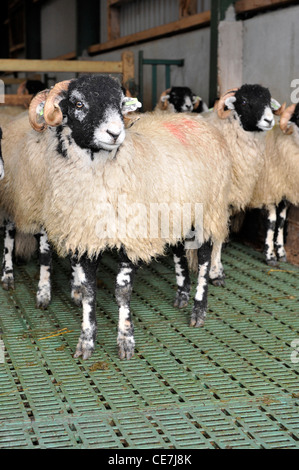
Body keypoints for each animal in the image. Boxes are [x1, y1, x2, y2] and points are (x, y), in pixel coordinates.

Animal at [0, 74, 233, 360]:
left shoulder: (129, 235)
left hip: (208, 210)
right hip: (175, 212)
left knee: (204, 257)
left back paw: (198, 309)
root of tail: (198, 122)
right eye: (78, 103)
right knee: (179, 250)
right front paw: (86, 341)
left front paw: (125, 341)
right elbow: (88, 291)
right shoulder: (84, 236)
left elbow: (122, 292)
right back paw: (181, 295)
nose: (115, 133)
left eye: (120, 103)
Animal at [188, 83, 278, 284]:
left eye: (268, 101)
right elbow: (217, 238)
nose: (269, 120)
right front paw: (215, 273)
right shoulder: (219, 201)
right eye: (243, 101)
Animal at [250, 102, 299, 264]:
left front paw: (281, 252)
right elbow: (272, 222)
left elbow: (282, 221)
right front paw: (270, 255)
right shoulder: (269, 190)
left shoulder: (284, 193)